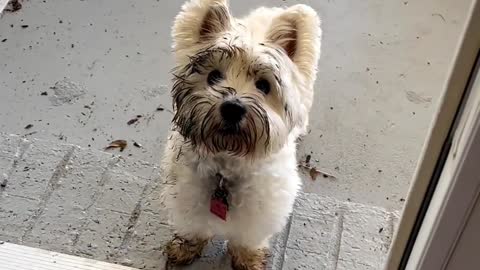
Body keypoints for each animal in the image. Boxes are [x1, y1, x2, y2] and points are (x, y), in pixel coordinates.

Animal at [162, 0, 322, 268]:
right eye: (213, 75)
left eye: (264, 85)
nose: (232, 108)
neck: (227, 164)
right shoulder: (187, 192)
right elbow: (193, 225)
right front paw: (186, 246)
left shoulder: (262, 207)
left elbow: (248, 236)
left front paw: (247, 258)